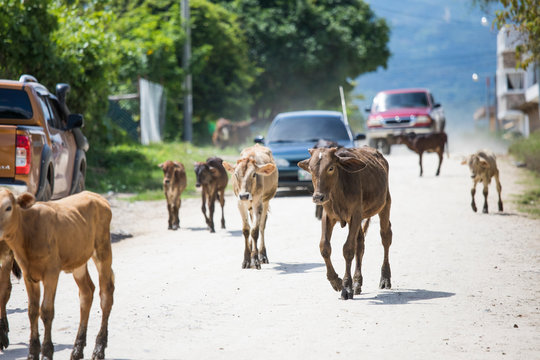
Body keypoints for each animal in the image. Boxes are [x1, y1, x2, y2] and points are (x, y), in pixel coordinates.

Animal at [0, 190, 114, 358]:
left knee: (106, 294)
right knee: (86, 293)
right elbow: (32, 311)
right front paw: (32, 353)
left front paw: (47, 352)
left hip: (102, 250)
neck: (27, 231)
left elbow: (46, 311)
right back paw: (77, 349)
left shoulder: (51, 273)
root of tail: (94, 195)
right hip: (78, 260)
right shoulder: (28, 275)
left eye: (8, 207)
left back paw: (99, 349)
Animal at [300, 146, 392, 300]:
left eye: (331, 168)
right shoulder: (328, 216)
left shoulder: (355, 215)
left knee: (385, 237)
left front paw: (346, 287)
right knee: (360, 244)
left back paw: (385, 278)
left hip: (385, 205)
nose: (318, 197)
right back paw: (357, 283)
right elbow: (324, 247)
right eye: (311, 169)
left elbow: (348, 249)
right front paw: (336, 281)